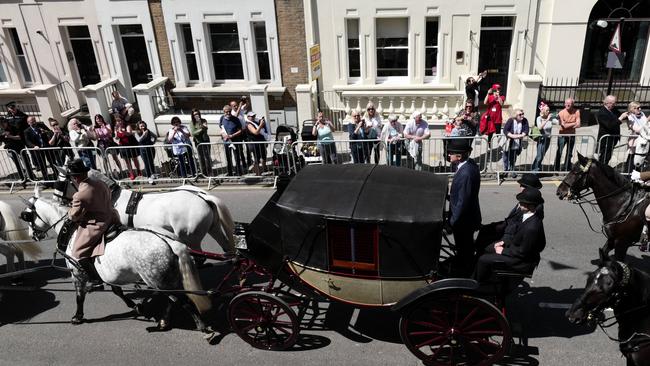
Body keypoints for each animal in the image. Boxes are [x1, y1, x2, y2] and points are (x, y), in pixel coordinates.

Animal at [20, 192, 211, 332]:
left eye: (28, 216)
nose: (32, 235)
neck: (73, 231)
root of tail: (170, 241)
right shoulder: (109, 274)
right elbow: (117, 291)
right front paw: (136, 306)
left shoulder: (77, 273)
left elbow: (79, 297)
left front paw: (78, 316)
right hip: (167, 278)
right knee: (175, 298)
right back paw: (165, 320)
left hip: (158, 280)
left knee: (180, 299)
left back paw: (200, 325)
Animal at [53, 167, 233, 253]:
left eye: (61, 183)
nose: (56, 199)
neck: (113, 199)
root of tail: (203, 197)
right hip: (213, 228)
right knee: (226, 248)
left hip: (191, 238)